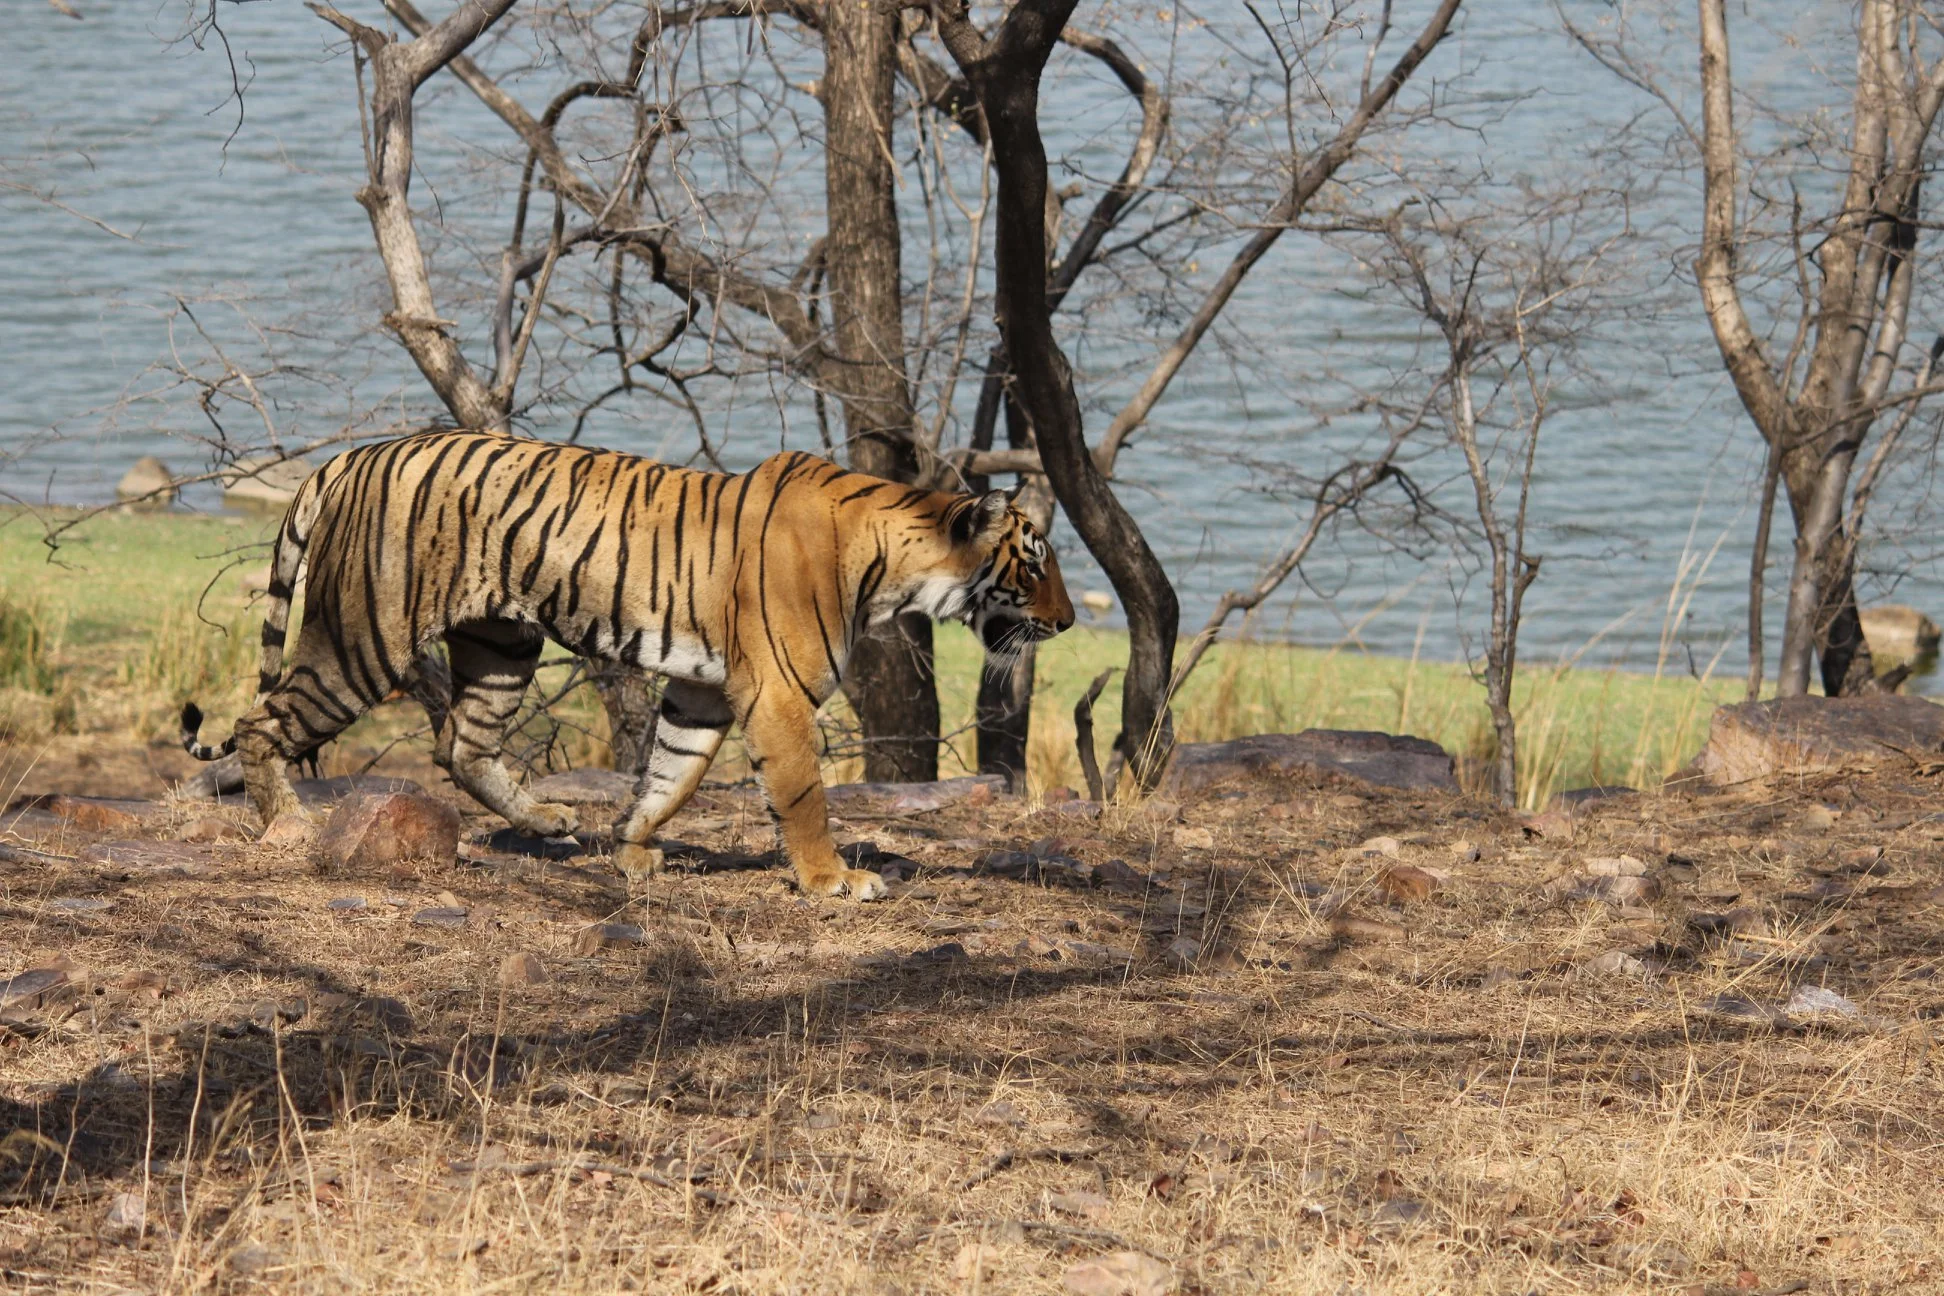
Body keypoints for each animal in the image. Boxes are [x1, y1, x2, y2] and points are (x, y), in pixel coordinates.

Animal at [180, 429, 1074, 900]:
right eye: (1034, 564)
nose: (1066, 622)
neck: (894, 564)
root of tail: (355, 451)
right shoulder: (778, 695)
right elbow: (803, 798)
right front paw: (834, 881)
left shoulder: (704, 691)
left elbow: (671, 774)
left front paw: (634, 847)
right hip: (364, 638)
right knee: (260, 721)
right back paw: (288, 823)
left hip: (502, 645)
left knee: (460, 744)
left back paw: (548, 820)